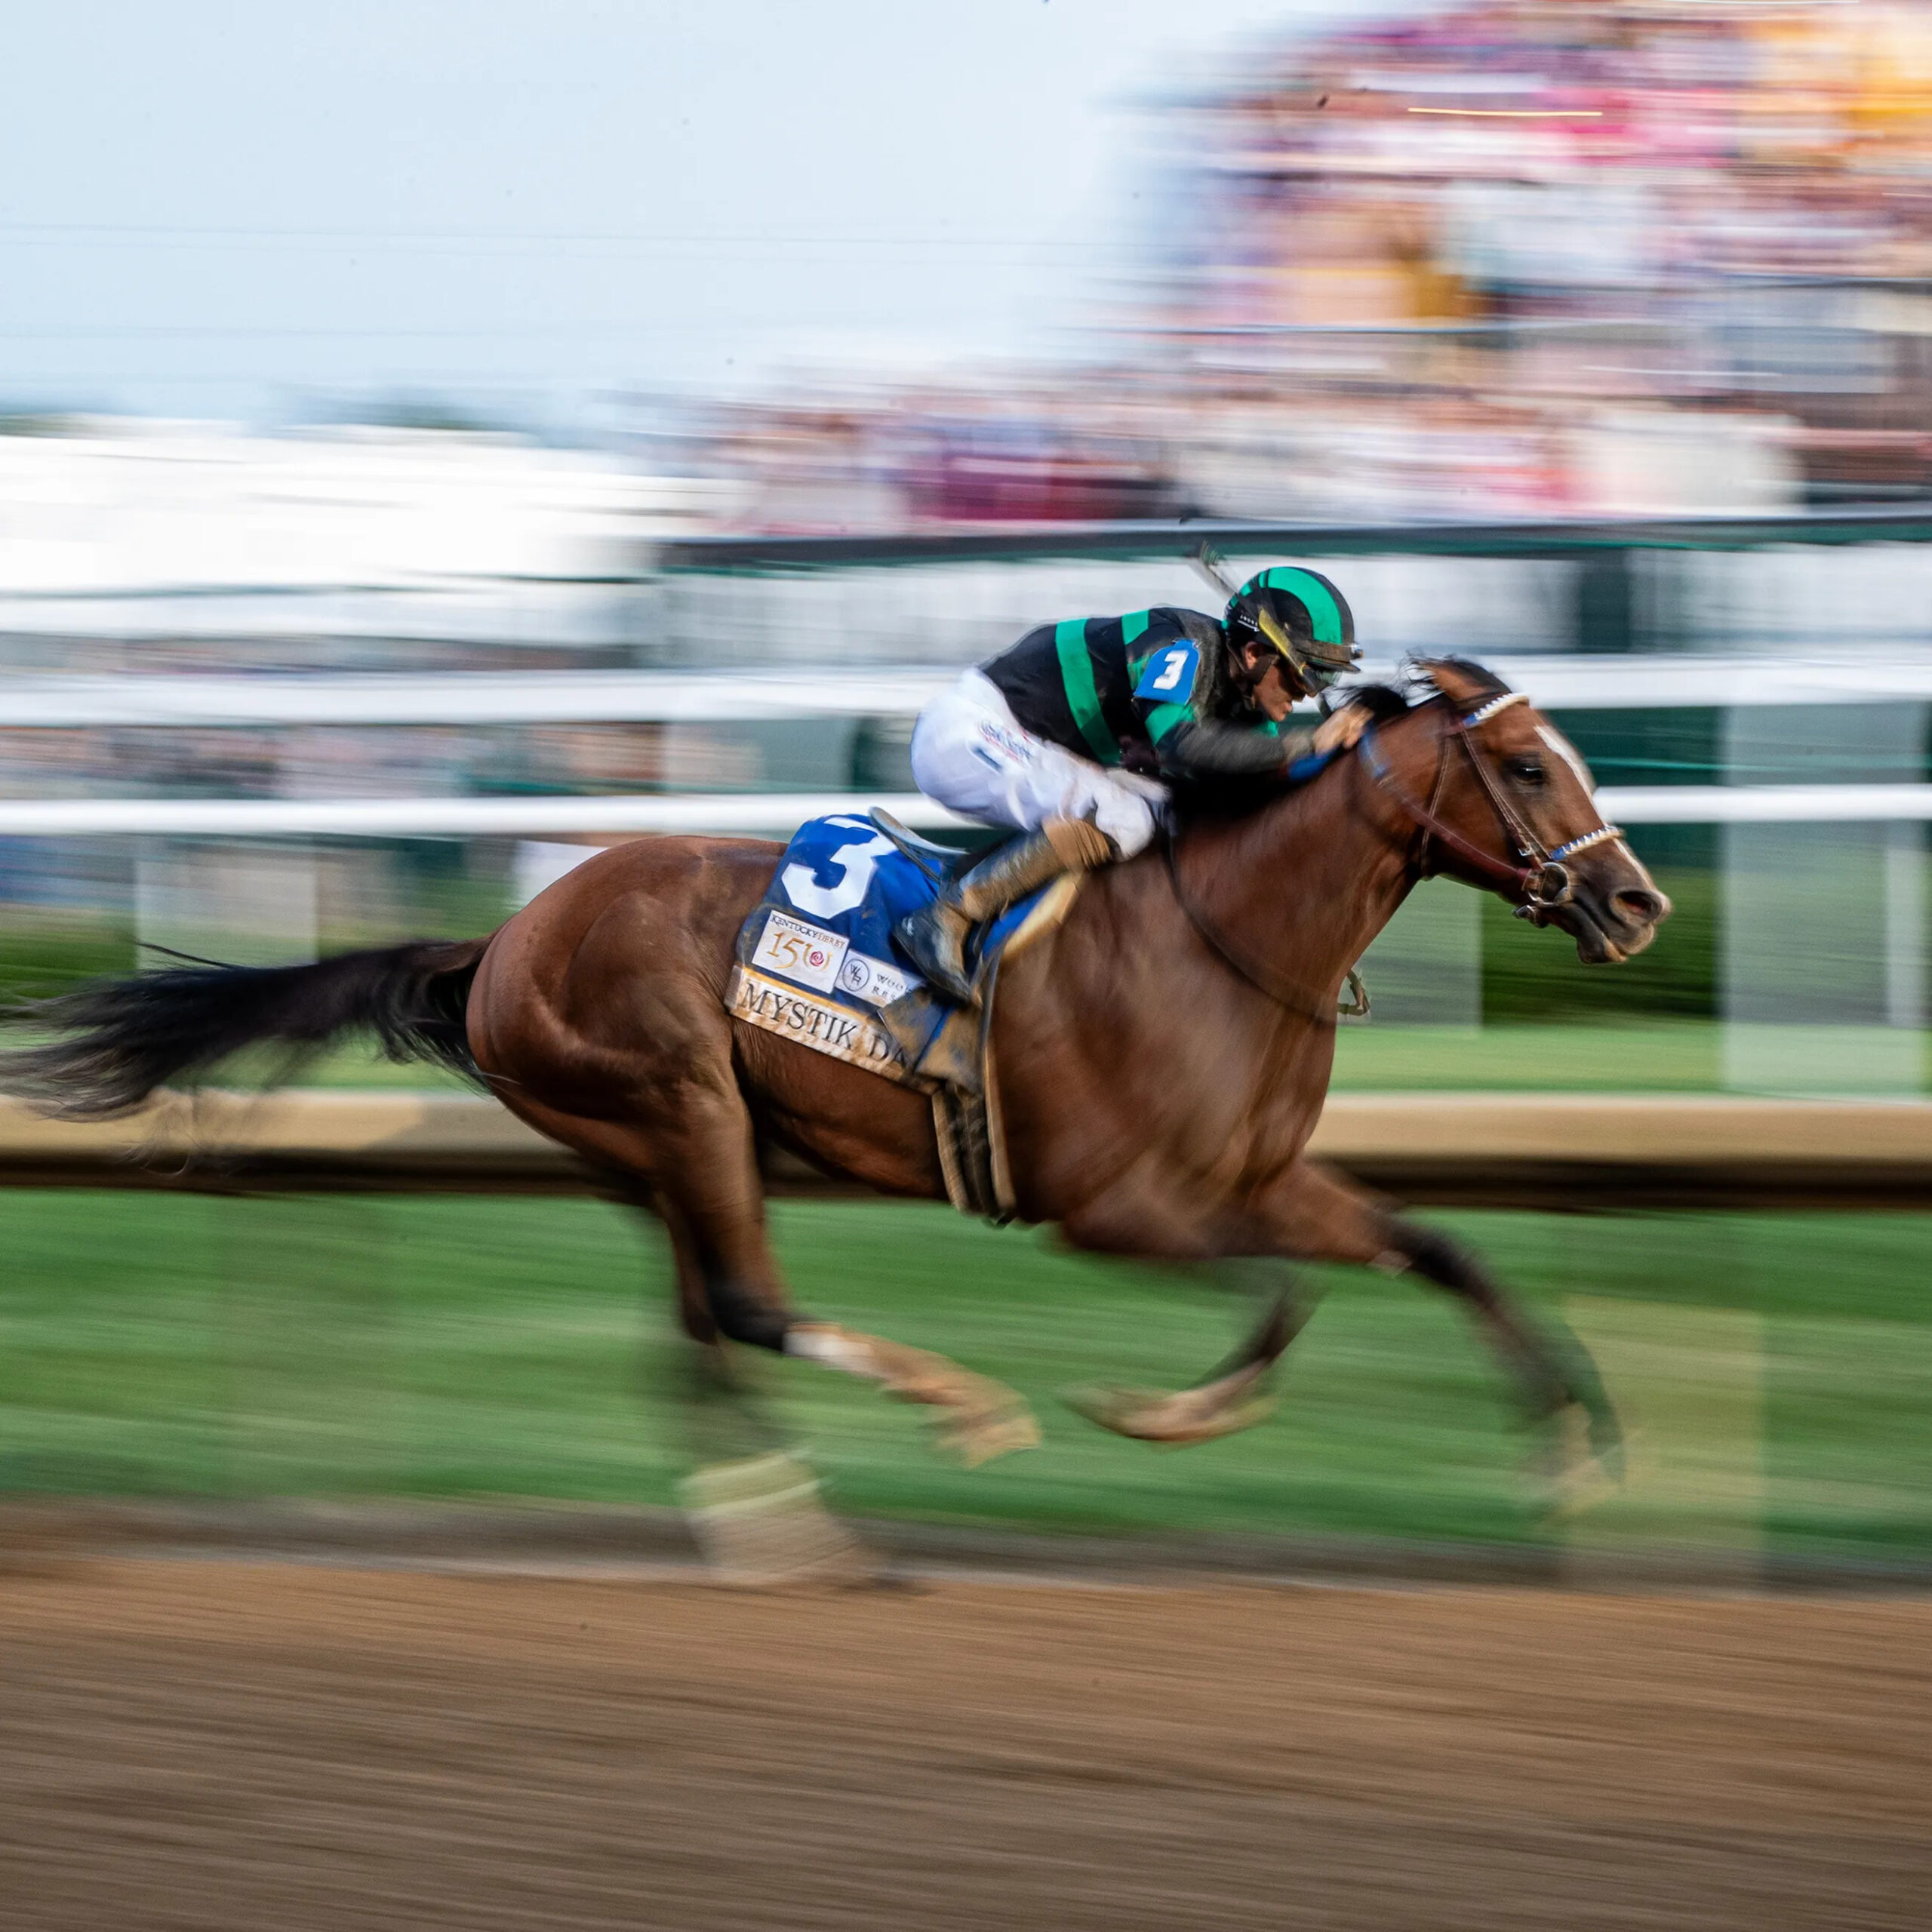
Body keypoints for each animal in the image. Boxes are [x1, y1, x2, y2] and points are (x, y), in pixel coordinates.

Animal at [8, 657, 1669, 1468]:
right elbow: (1276, 1301)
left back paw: (791, 1523)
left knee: (696, 1332)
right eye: (1528, 766)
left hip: (655, 1149)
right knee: (746, 1309)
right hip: (671, 1092)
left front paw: (1575, 1438)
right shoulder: (1112, 1207)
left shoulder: (1263, 1178)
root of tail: (507, 934)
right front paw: (1164, 1415)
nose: (1639, 904)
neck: (1222, 937)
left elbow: (1435, 1249)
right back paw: (952, 1413)